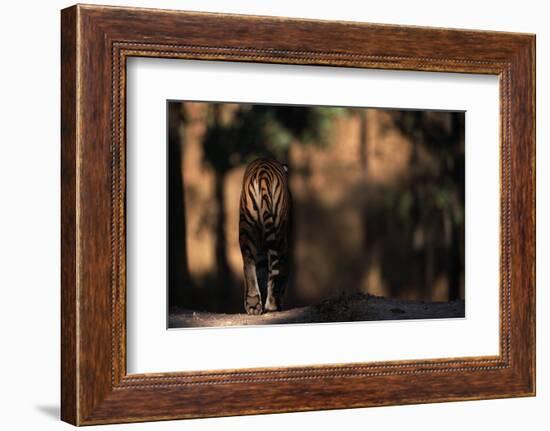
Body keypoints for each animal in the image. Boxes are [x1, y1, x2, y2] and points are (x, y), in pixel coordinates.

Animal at [239, 157, 296, 316]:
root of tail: (263, 174)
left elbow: (261, 272)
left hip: (246, 229)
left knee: (248, 263)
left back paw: (253, 305)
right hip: (279, 234)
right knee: (276, 267)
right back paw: (272, 305)